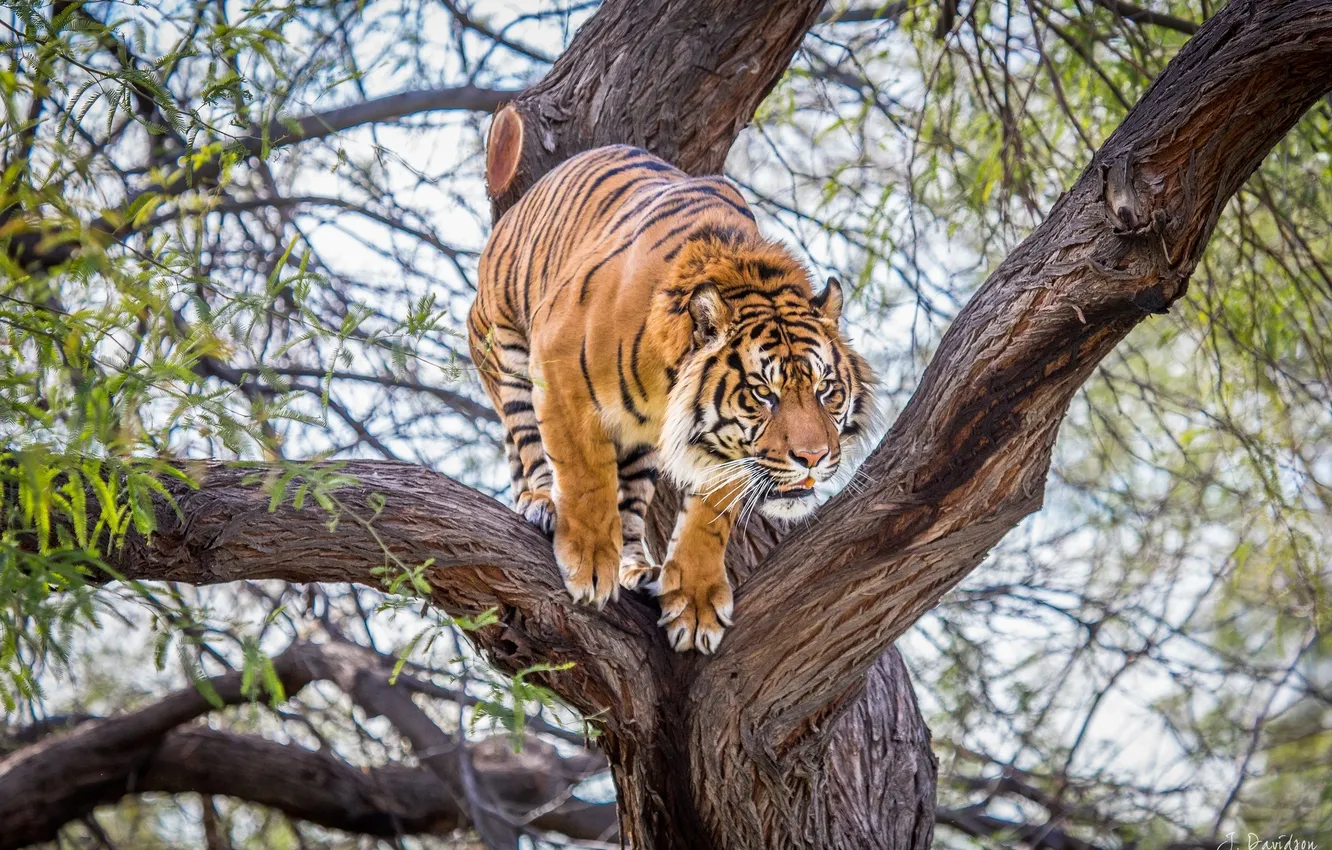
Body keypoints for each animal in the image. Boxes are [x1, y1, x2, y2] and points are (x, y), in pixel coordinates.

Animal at [468, 144, 875, 653]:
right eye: (763, 393)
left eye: (826, 391)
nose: (814, 457)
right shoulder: (558, 368)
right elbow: (585, 475)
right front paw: (589, 561)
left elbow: (709, 516)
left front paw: (695, 603)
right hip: (506, 349)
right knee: (529, 446)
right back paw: (544, 503)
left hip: (642, 446)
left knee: (630, 507)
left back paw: (638, 568)